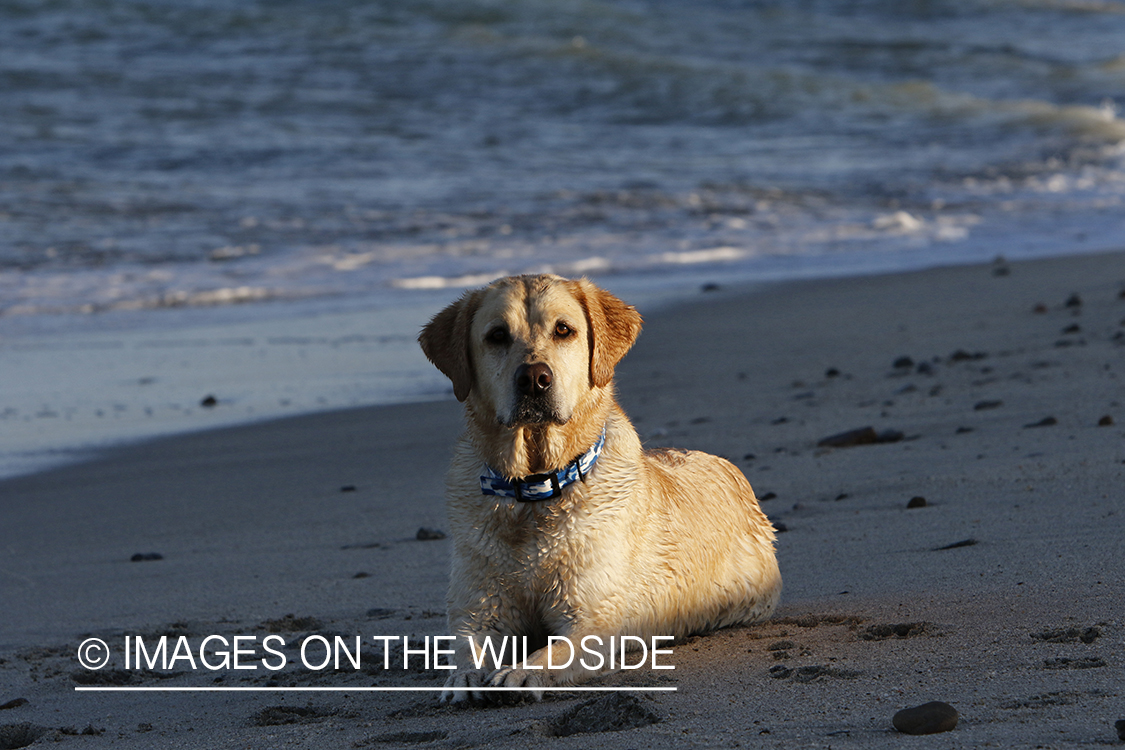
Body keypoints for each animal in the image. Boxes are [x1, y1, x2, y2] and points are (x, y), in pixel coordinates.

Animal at [418, 275, 778, 706]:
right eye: (497, 336)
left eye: (563, 330)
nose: (534, 378)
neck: (535, 491)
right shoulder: (479, 607)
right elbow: (466, 644)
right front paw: (466, 676)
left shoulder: (592, 615)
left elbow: (556, 648)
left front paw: (523, 672)